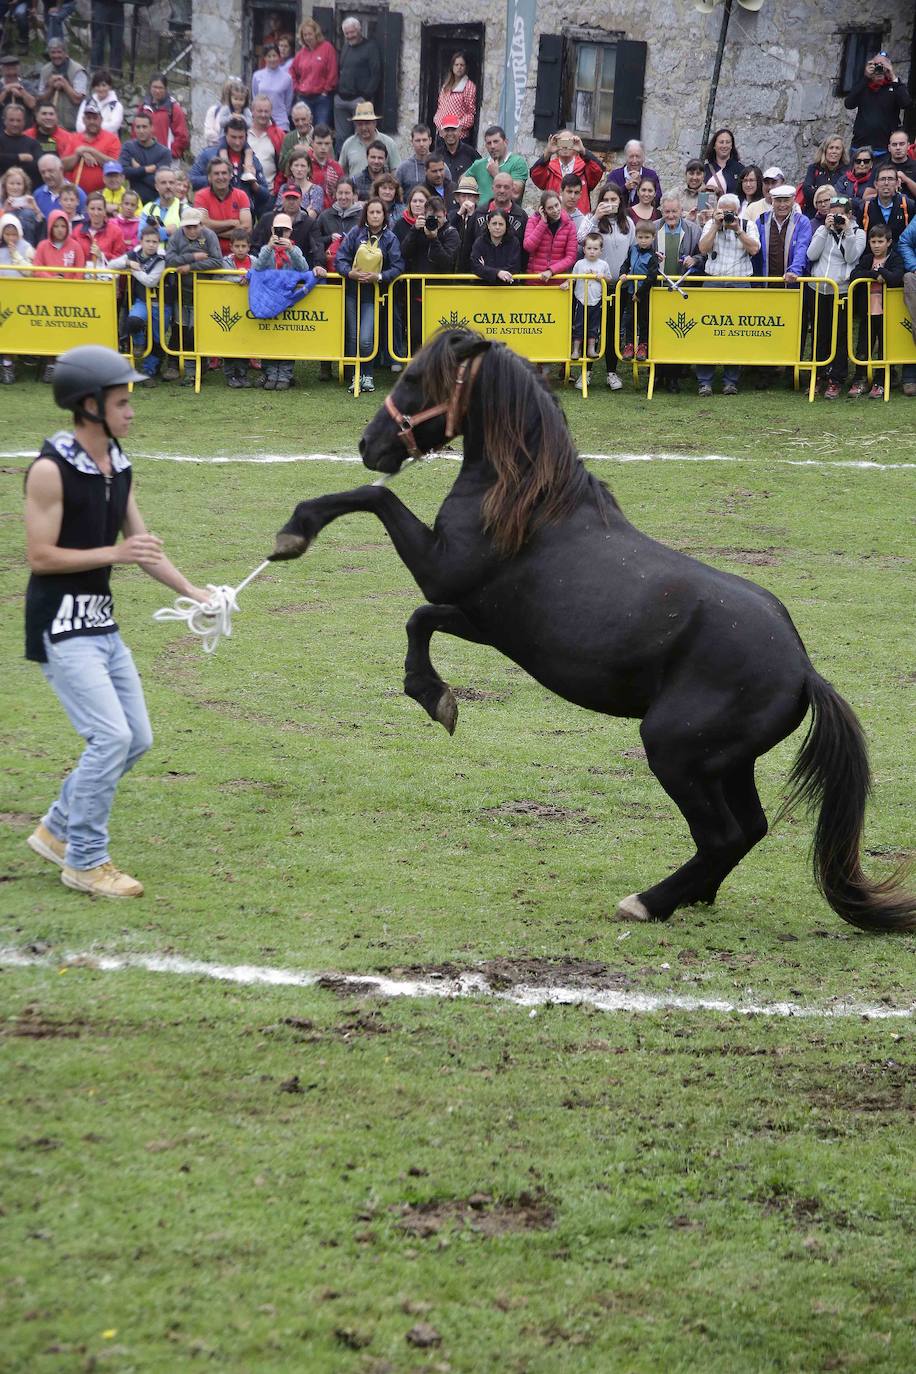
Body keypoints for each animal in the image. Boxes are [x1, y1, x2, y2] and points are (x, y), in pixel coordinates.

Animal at [269, 329, 911, 934]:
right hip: (725, 763)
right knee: (749, 828)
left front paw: (295, 532)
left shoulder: (441, 574)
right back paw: (693, 896)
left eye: (413, 379)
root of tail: (803, 671)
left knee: (723, 836)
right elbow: (419, 618)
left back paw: (648, 903)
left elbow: (377, 504)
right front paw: (436, 698)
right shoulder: (484, 622)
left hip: (675, 752)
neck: (525, 500)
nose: (368, 445)